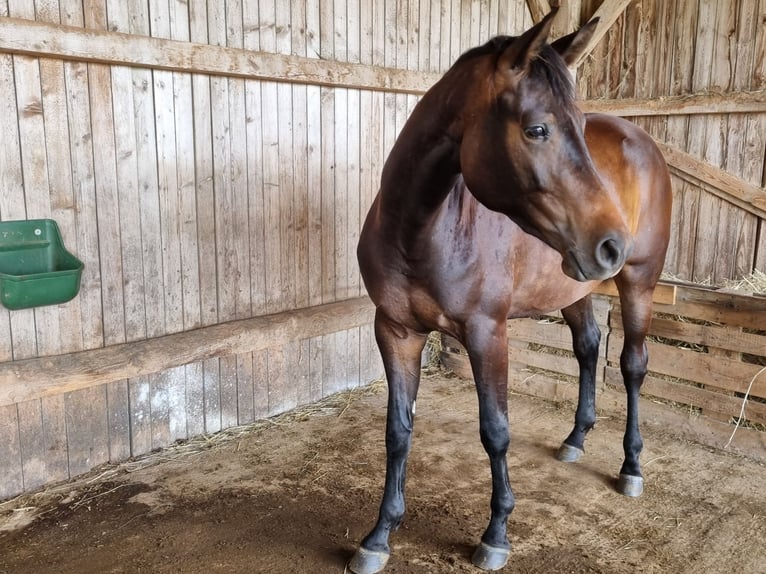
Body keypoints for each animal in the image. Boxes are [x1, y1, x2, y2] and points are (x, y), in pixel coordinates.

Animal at [352, 9, 676, 574]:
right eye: (537, 128)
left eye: (577, 130)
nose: (611, 244)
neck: (419, 231)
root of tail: (643, 140)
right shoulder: (394, 331)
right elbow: (397, 431)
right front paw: (379, 536)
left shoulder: (487, 333)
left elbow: (495, 431)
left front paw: (496, 533)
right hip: (575, 286)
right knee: (588, 348)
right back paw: (575, 439)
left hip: (639, 282)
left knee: (633, 365)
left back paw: (631, 467)